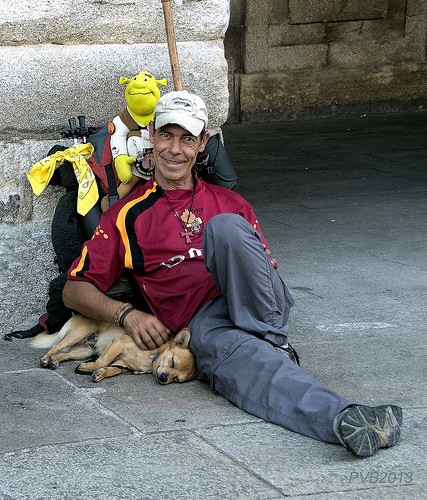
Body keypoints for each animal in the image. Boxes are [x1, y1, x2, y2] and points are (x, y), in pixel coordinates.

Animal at [30, 316, 198, 382]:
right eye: (172, 361)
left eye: (176, 379)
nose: (163, 378)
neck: (151, 358)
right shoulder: (118, 344)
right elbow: (103, 361)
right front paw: (90, 367)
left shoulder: (124, 365)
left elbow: (113, 369)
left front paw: (101, 373)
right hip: (78, 335)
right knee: (56, 346)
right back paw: (46, 358)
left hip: (85, 350)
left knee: (66, 354)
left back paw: (55, 361)